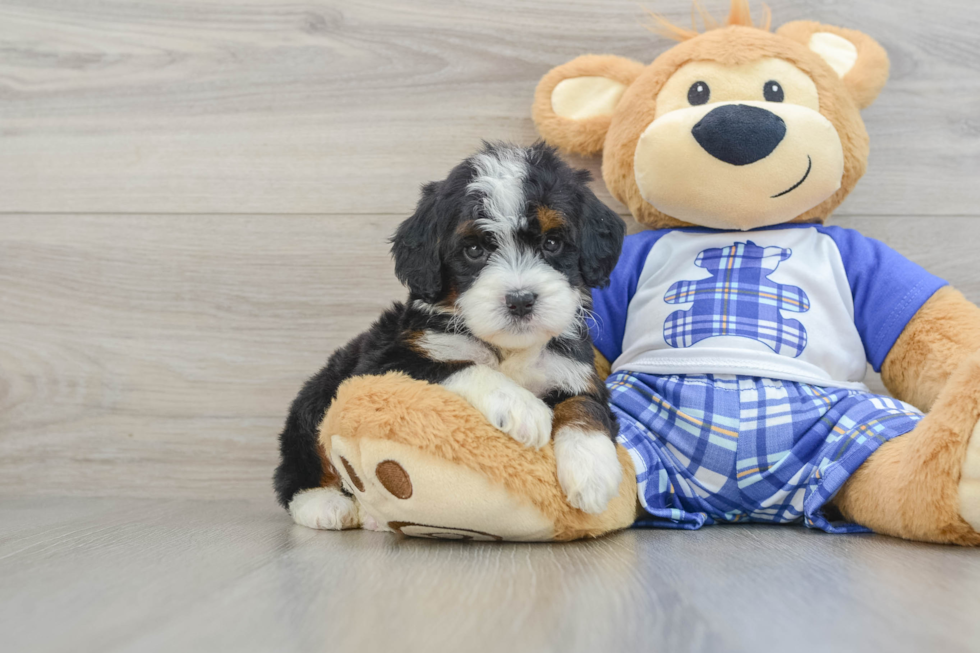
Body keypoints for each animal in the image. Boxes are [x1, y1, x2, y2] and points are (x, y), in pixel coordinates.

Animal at [276, 144, 628, 528]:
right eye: (474, 250)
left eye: (552, 242)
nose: (520, 300)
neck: (508, 349)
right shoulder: (388, 360)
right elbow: (461, 366)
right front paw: (520, 405)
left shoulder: (574, 371)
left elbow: (585, 406)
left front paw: (592, 471)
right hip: (318, 398)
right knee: (299, 467)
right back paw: (325, 504)